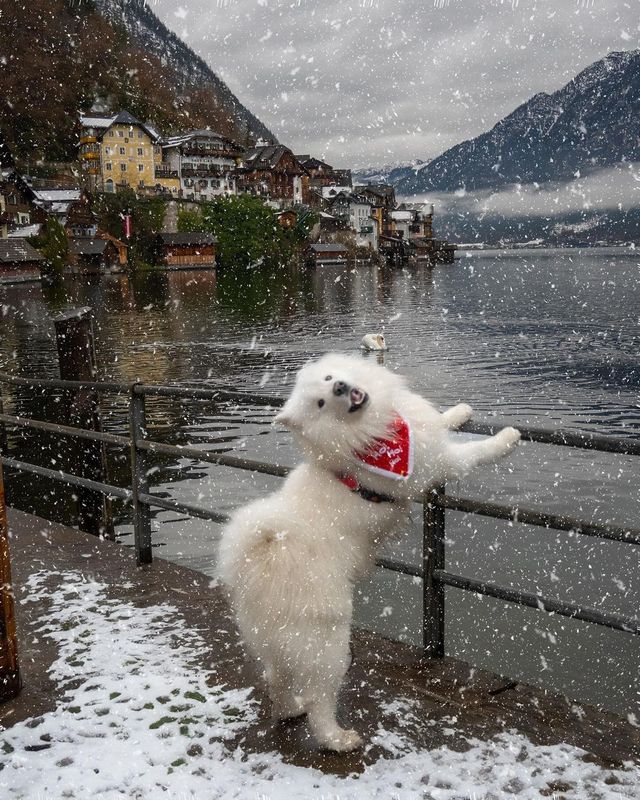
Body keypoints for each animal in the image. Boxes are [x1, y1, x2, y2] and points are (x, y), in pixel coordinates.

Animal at [216, 354, 520, 752]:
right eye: (321, 404)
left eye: (328, 378)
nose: (339, 387)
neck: (366, 436)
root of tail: (262, 555)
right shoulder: (437, 462)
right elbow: (472, 453)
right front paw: (507, 438)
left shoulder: (417, 431)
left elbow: (438, 421)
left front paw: (459, 411)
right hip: (327, 643)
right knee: (319, 698)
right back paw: (338, 739)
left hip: (274, 641)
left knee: (275, 677)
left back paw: (290, 711)